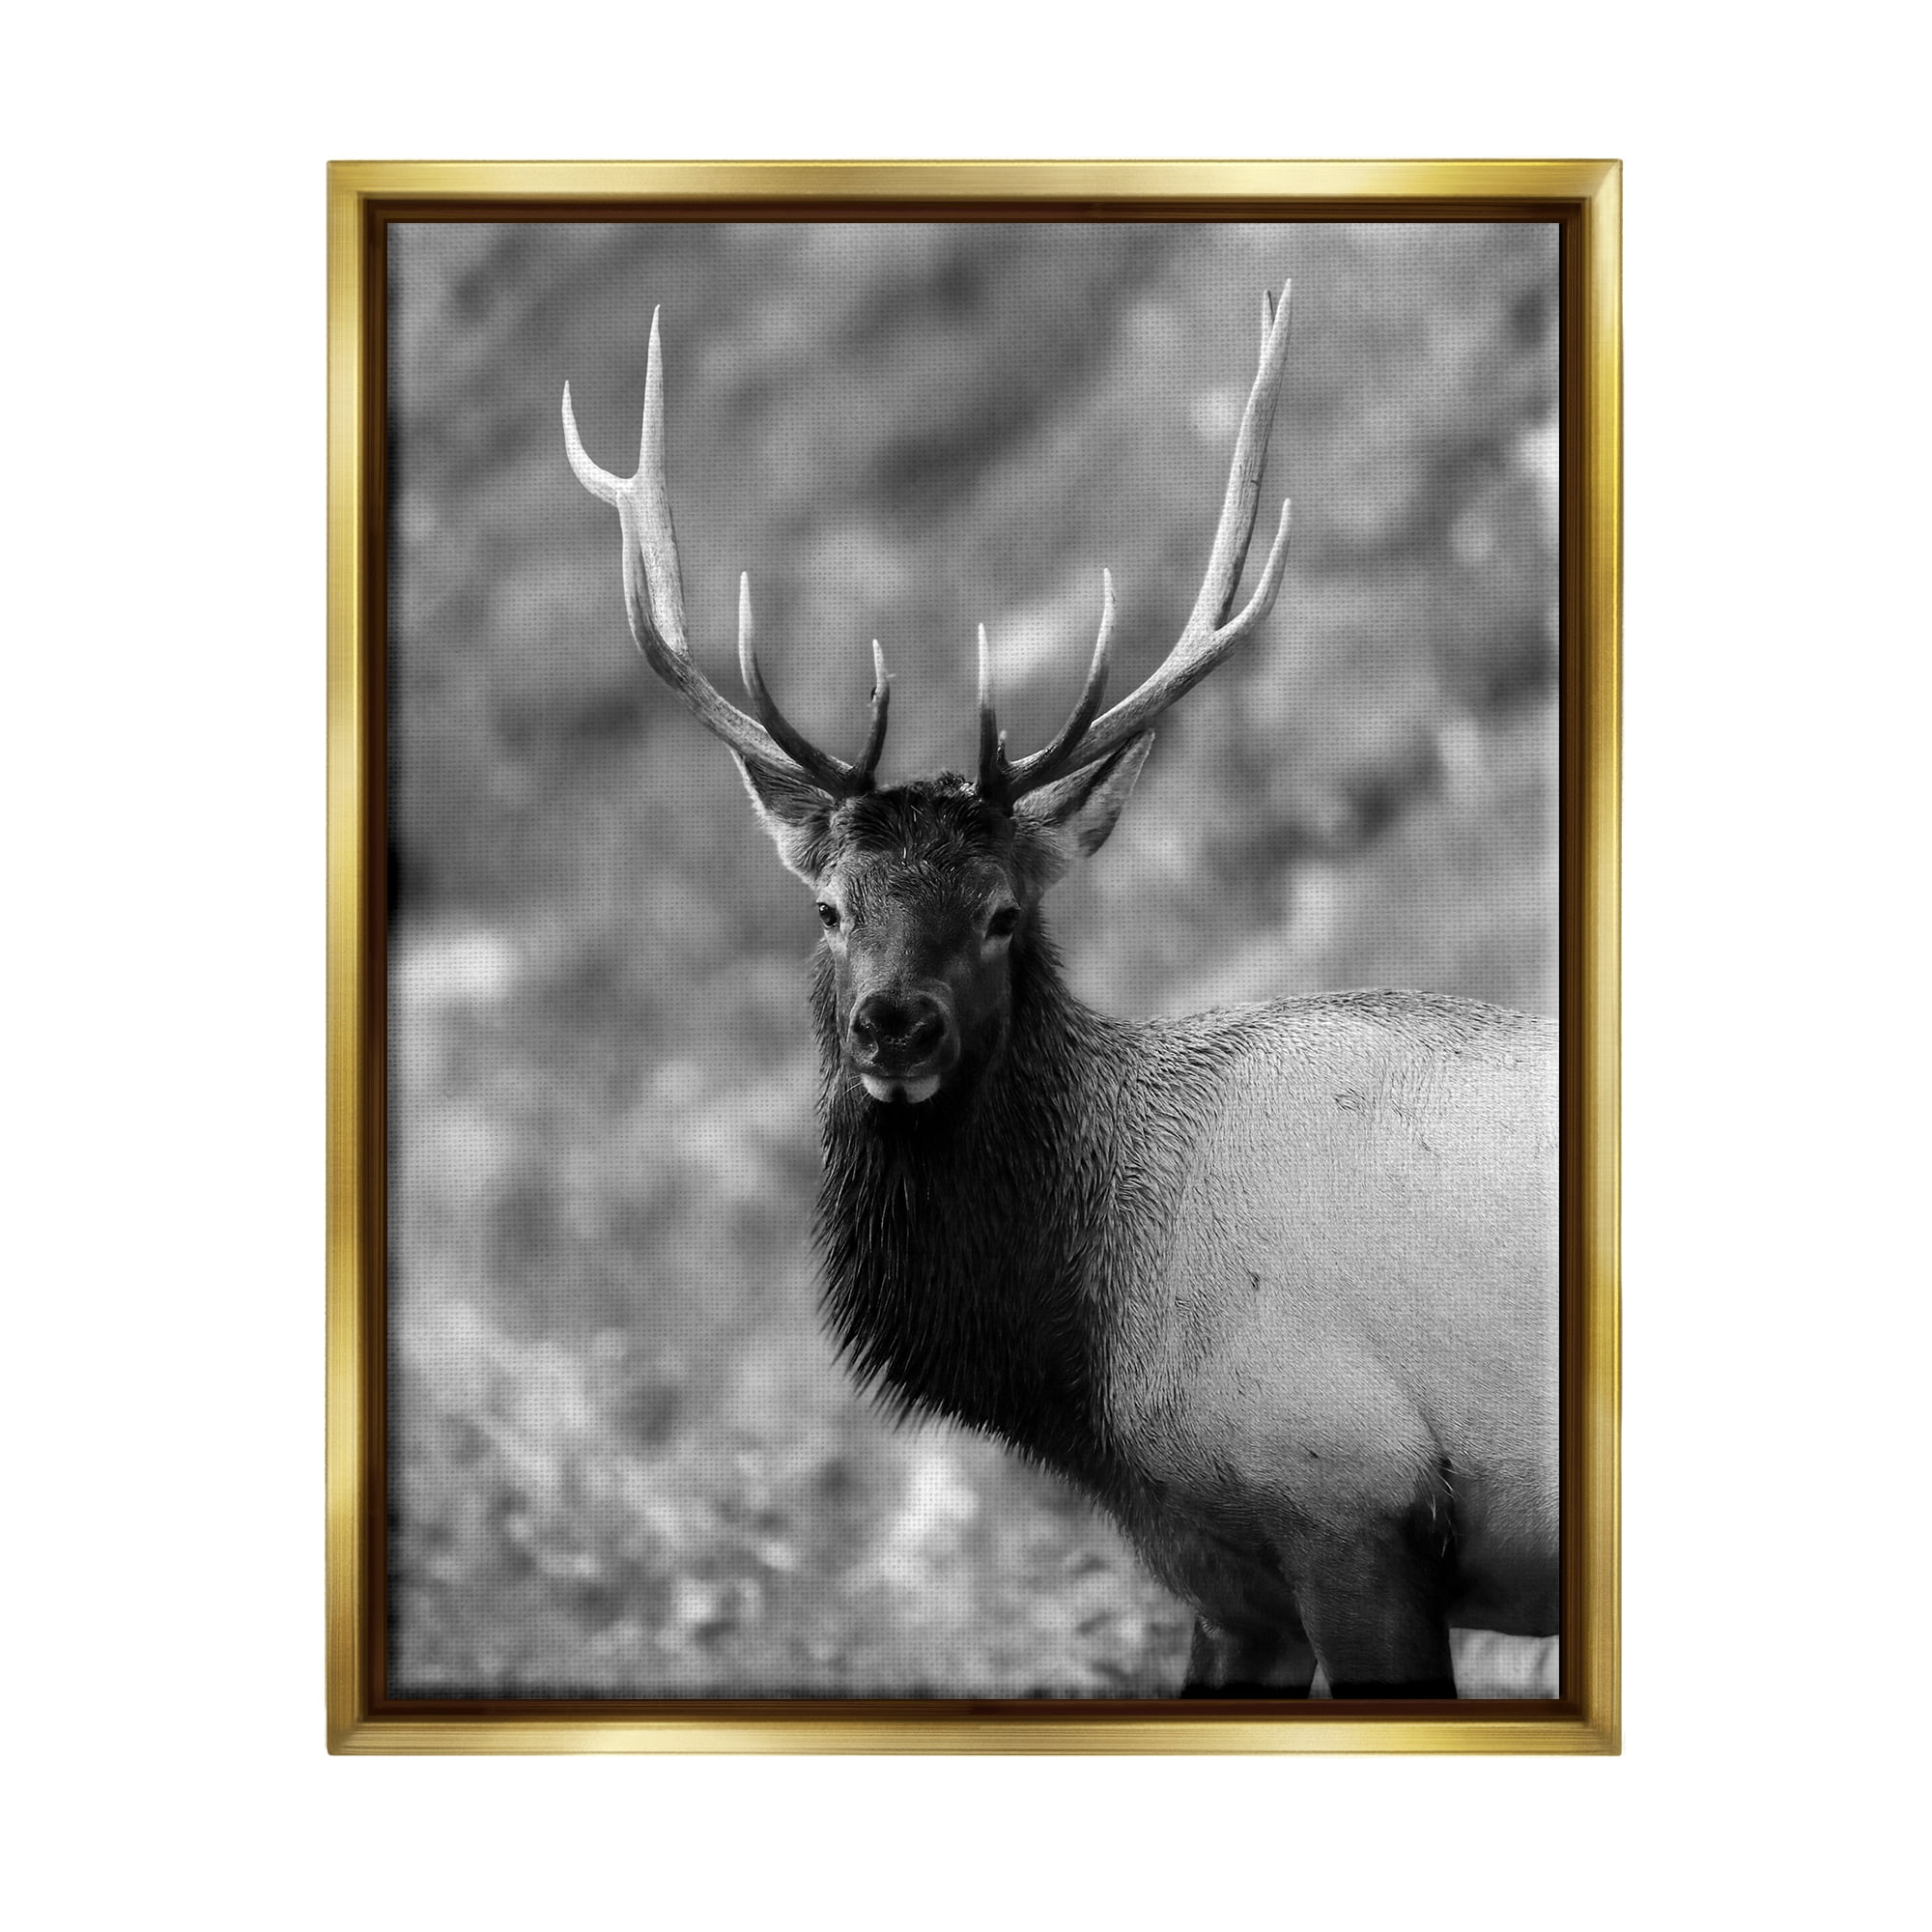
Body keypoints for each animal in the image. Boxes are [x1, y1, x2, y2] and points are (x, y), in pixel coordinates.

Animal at [560, 286, 1559, 1699]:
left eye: (1003, 912)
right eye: (829, 909)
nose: (894, 1024)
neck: (1082, 1357)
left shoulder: (1351, 1507)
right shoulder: (1219, 1572)